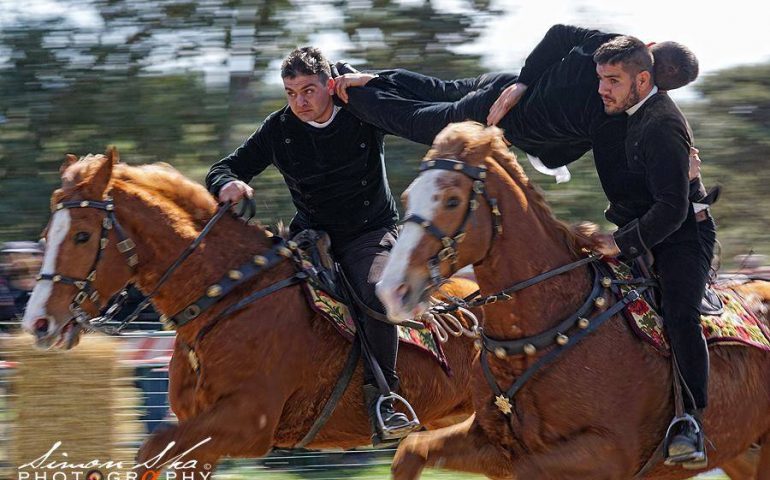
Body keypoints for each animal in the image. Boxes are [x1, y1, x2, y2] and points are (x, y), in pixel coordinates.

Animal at [21, 150, 480, 476]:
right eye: (46, 234)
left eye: (82, 235)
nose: (38, 322)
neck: (229, 296)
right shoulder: (202, 437)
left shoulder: (248, 425)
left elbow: (151, 448)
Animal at [376, 121, 768, 480]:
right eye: (407, 198)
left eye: (452, 200)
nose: (392, 288)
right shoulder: (488, 442)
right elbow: (410, 451)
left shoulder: (604, 455)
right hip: (740, 452)